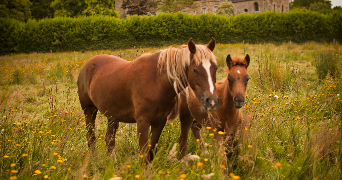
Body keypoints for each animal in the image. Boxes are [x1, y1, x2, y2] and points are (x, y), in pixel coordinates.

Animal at [77, 38, 219, 160]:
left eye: (215, 68)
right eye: (195, 70)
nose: (211, 100)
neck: (157, 81)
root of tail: (88, 64)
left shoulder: (159, 122)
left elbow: (151, 152)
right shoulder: (142, 122)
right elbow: (144, 153)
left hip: (112, 116)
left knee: (109, 140)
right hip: (89, 111)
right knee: (91, 137)